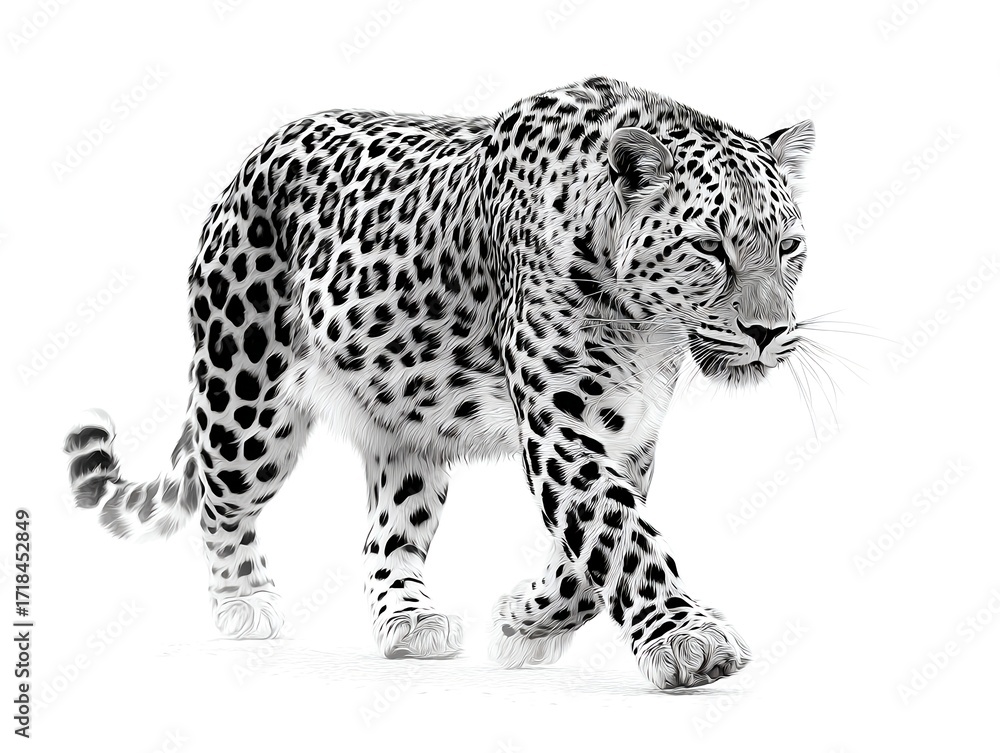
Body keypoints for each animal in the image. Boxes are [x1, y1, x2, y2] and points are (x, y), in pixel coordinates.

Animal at [64, 76, 814, 689]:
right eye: (710, 247)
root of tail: (254, 156)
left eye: (790, 247)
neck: (649, 328)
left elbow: (586, 557)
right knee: (223, 504)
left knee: (384, 537)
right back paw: (243, 600)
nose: (768, 331)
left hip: (404, 431)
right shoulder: (564, 427)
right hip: (246, 401)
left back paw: (409, 622)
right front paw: (690, 643)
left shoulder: (627, 433)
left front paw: (521, 622)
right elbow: (618, 531)